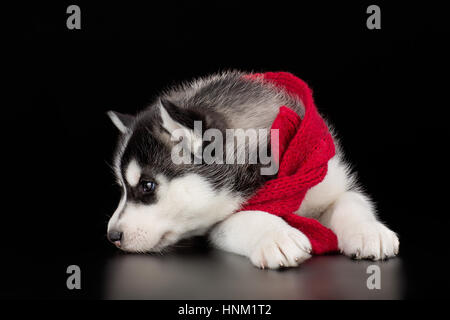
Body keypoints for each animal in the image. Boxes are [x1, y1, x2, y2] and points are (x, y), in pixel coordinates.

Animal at [107, 71, 400, 268]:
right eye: (121, 188)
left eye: (147, 185)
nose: (112, 236)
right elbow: (242, 216)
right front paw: (277, 236)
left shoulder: (328, 177)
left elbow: (351, 200)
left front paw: (368, 231)